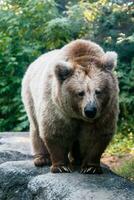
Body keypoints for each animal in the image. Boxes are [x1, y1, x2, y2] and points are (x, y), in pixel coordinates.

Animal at [21, 39, 119, 173]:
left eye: (98, 91)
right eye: (80, 93)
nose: (90, 110)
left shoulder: (105, 110)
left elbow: (97, 134)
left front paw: (90, 167)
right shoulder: (57, 106)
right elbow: (55, 131)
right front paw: (61, 166)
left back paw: (77, 159)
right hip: (30, 96)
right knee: (36, 127)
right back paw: (42, 159)